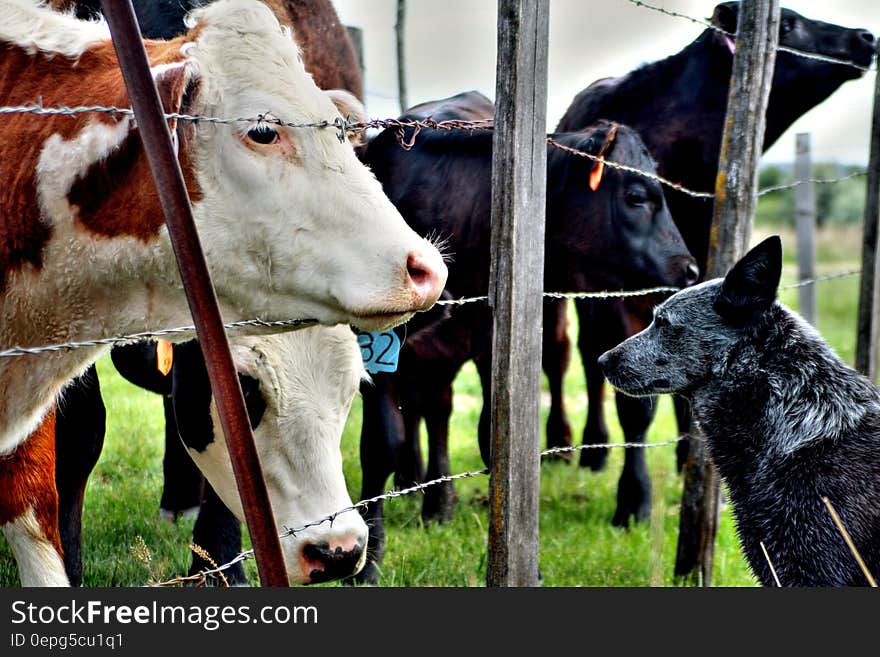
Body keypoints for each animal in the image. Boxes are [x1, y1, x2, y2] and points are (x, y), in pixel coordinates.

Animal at [354, 89, 696, 580]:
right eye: (637, 196)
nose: (689, 269)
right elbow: (383, 442)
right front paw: (369, 561)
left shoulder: (490, 341)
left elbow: (493, 441)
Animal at [552, 2, 876, 504]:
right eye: (787, 25)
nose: (865, 37)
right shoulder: (618, 293)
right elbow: (636, 402)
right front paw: (635, 497)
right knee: (580, 357)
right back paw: (591, 448)